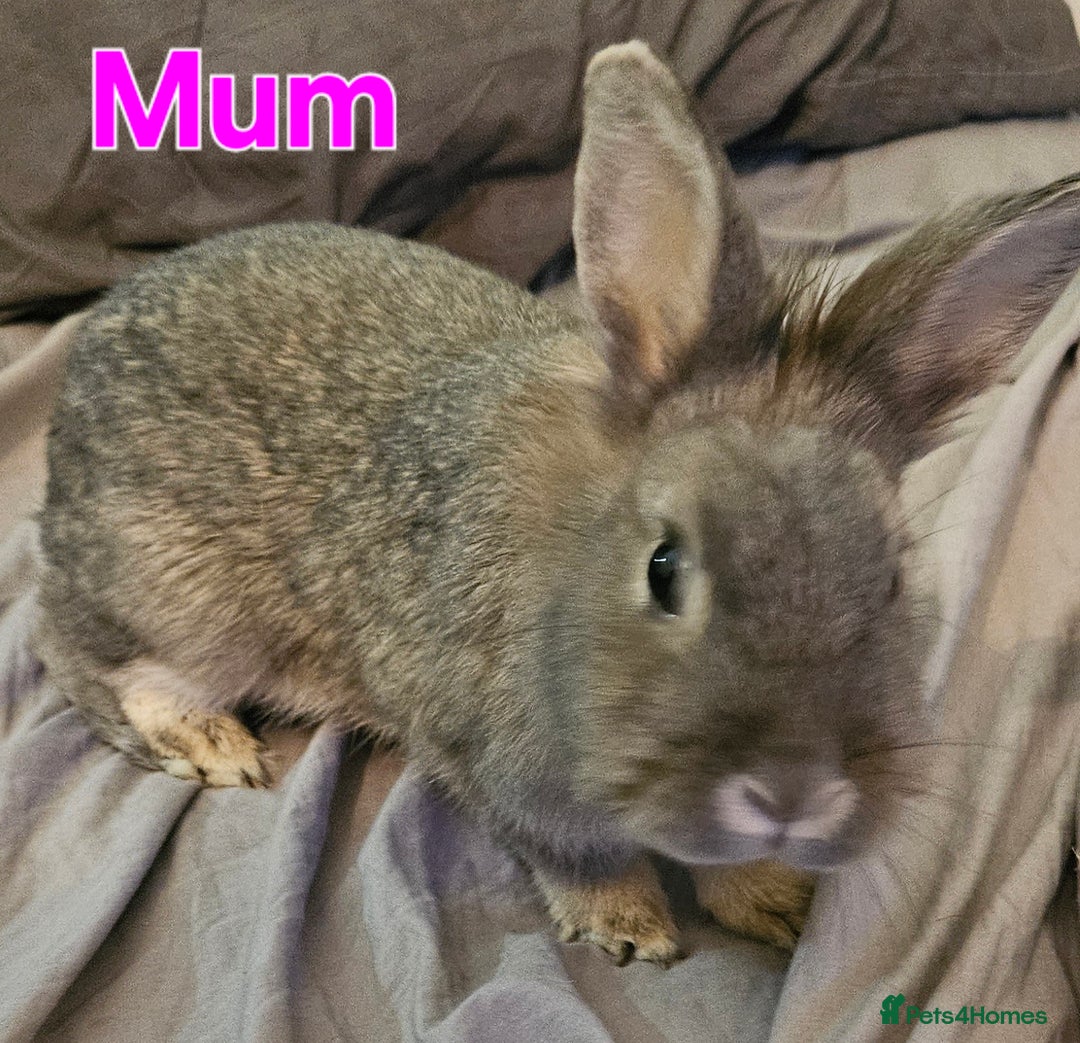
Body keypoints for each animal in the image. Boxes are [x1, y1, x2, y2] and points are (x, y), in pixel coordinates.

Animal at [35, 40, 1080, 966]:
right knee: (81, 654)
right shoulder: (493, 759)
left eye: (894, 579)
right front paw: (628, 927)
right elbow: (582, 854)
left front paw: (774, 901)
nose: (796, 790)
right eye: (664, 568)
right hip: (183, 596)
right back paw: (209, 742)